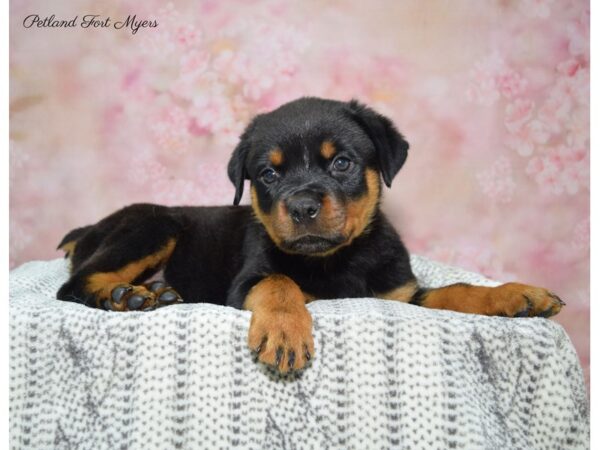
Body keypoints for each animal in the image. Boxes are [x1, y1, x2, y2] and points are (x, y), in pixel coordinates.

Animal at [55, 97, 564, 372]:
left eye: (341, 162)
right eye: (268, 174)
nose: (302, 206)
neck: (337, 259)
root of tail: (91, 228)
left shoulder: (399, 294)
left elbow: (454, 289)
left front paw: (516, 294)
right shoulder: (245, 282)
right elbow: (280, 282)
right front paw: (285, 331)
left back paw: (151, 294)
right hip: (154, 225)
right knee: (74, 284)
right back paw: (126, 296)